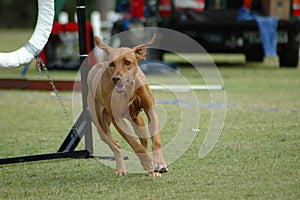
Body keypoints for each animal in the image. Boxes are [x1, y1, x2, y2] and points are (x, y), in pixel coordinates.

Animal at [87, 34, 169, 177]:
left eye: (127, 62)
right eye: (112, 64)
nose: (116, 78)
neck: (128, 90)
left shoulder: (150, 110)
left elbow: (155, 141)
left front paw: (159, 164)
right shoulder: (117, 119)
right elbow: (133, 143)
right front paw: (147, 162)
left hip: (138, 122)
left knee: (142, 141)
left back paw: (150, 170)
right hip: (100, 124)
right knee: (116, 145)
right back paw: (121, 168)